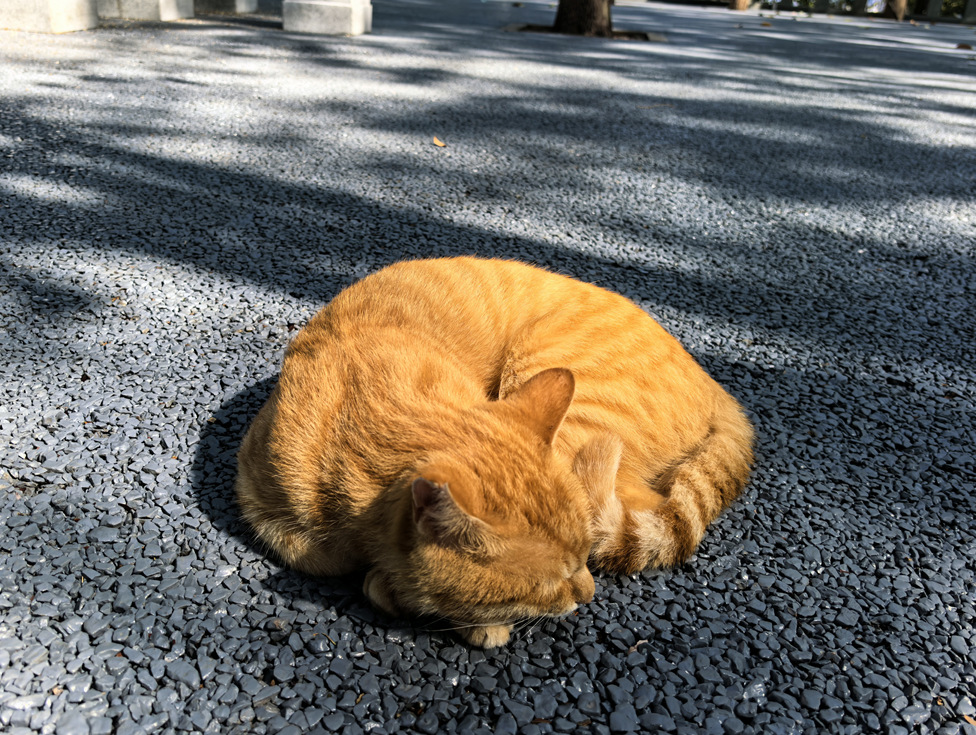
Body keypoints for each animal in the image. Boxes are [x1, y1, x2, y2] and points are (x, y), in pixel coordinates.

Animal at [236, 256, 756, 648]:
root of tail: (718, 388)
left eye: (584, 557)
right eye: (549, 584)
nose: (588, 596)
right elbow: (315, 553)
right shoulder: (264, 506)